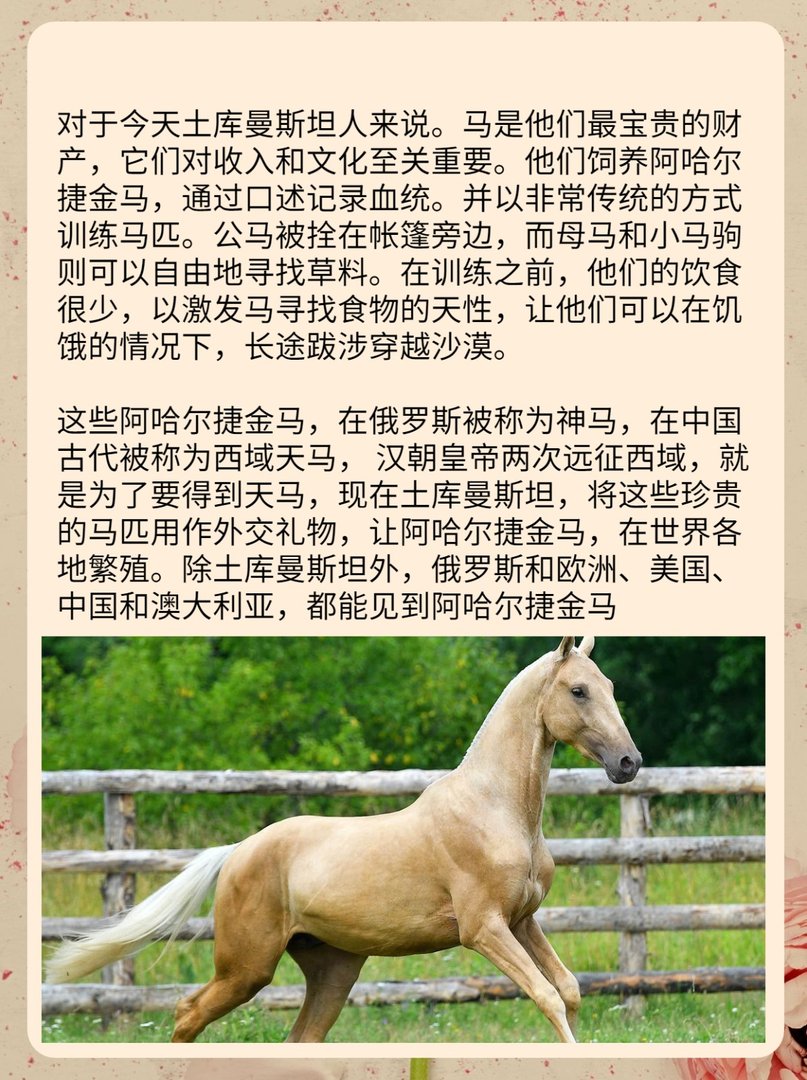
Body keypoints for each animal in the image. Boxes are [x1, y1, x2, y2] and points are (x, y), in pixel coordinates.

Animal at [46, 635, 642, 1044]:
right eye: (578, 690)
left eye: (612, 688)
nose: (628, 762)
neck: (495, 810)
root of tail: (236, 852)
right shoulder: (485, 929)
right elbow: (547, 996)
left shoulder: (522, 920)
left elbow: (568, 989)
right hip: (246, 968)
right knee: (187, 1013)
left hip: (331, 971)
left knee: (298, 1040)